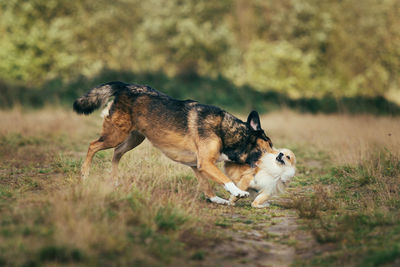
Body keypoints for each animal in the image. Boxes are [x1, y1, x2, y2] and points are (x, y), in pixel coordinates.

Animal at [73, 81, 276, 205]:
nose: (280, 155)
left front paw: (217, 200)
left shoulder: (197, 166)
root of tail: (125, 86)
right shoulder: (206, 163)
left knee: (116, 153)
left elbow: (207, 186)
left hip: (134, 138)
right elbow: (224, 179)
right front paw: (237, 192)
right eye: (270, 144)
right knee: (93, 145)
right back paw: (85, 174)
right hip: (116, 134)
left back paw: (114, 180)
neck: (227, 131)